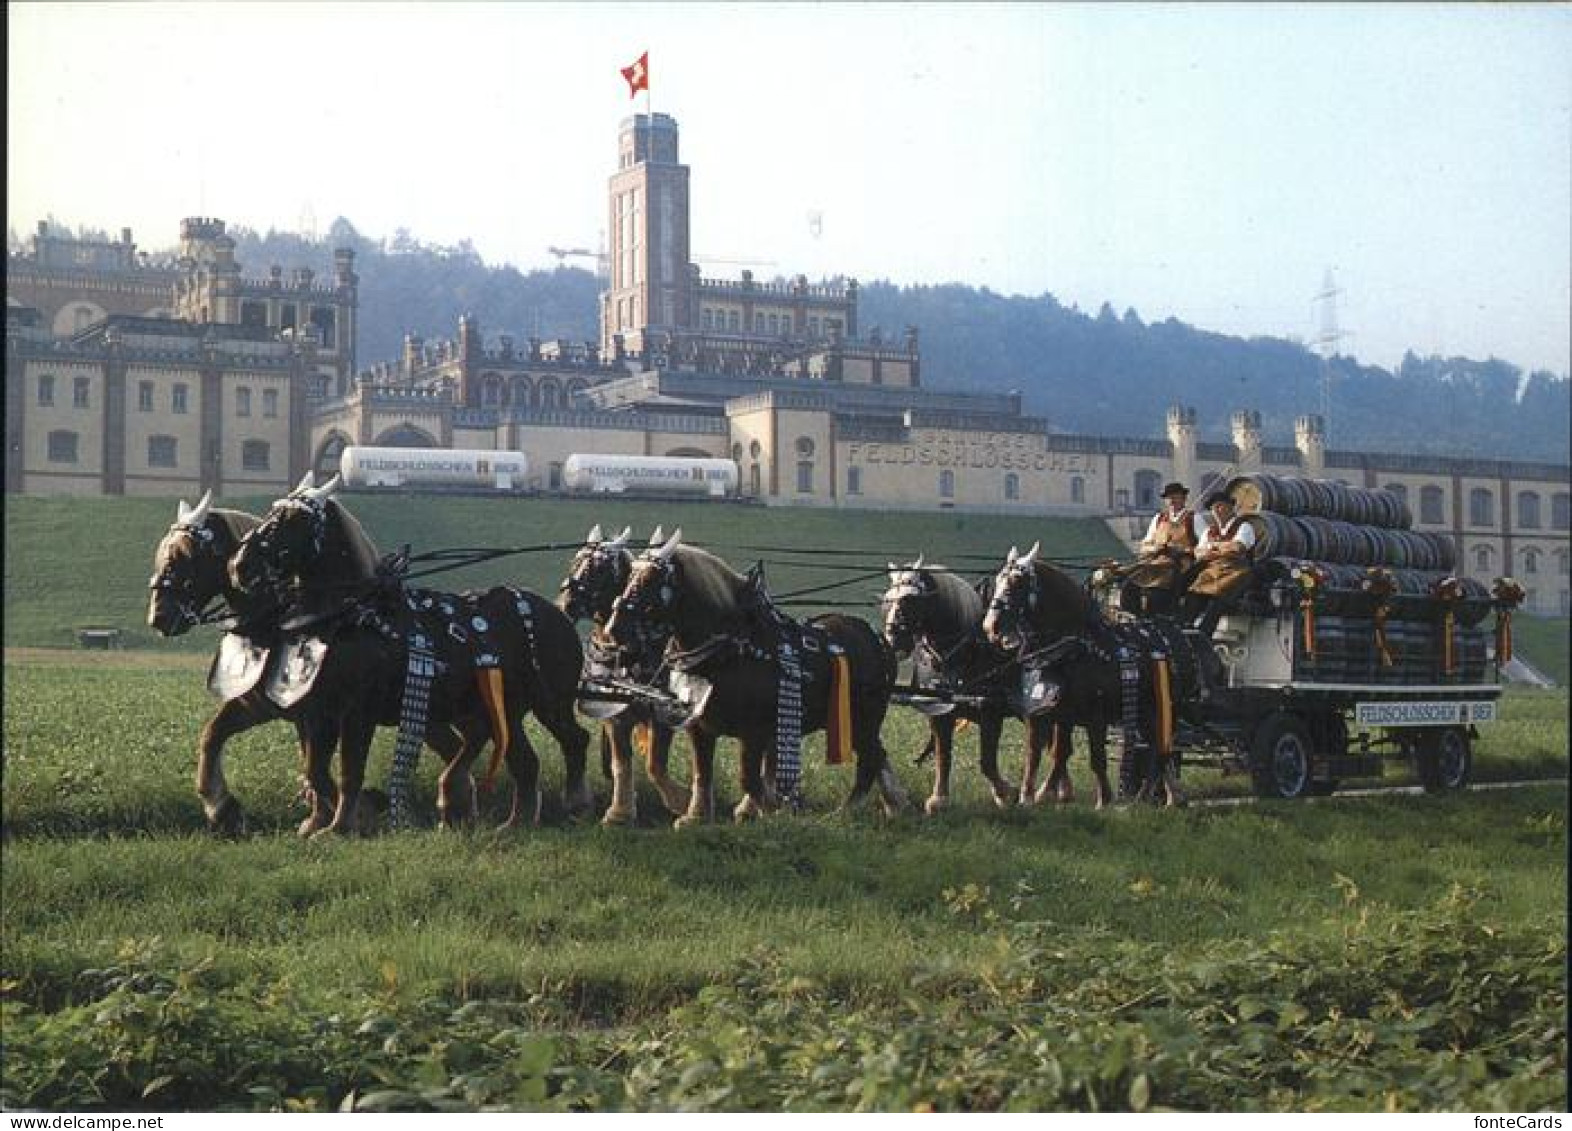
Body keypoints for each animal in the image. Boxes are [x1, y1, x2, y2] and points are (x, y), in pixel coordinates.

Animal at [232, 471, 594, 836]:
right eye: (272, 510)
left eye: (295, 519)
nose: (240, 565)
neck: (354, 617)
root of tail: (559, 614)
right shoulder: (323, 712)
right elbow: (315, 771)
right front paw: (325, 822)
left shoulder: (359, 712)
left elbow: (350, 772)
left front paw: (340, 827)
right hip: (505, 708)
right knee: (521, 760)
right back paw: (513, 821)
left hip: (549, 703)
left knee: (574, 740)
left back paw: (574, 801)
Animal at [562, 522, 691, 824]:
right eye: (575, 561)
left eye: (598, 569)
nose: (564, 603)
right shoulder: (615, 715)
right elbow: (621, 762)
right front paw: (619, 811)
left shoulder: (660, 714)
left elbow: (655, 764)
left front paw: (681, 801)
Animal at [597, 525, 905, 824]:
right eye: (629, 575)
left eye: (652, 579)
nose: (614, 630)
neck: (729, 650)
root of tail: (878, 639)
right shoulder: (699, 725)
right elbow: (702, 772)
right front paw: (695, 815)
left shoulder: (754, 731)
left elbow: (748, 778)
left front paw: (771, 811)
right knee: (878, 755)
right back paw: (893, 805)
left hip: (862, 720)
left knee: (869, 761)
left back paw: (847, 811)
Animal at [880, 559, 1050, 811]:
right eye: (888, 599)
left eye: (910, 599)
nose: (892, 639)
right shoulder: (939, 713)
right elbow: (943, 755)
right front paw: (939, 799)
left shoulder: (990, 714)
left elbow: (987, 762)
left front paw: (1005, 793)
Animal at [974, 544, 1182, 811]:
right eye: (999, 580)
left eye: (1017, 582)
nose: (991, 628)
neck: (1075, 649)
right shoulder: (1046, 713)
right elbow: (1041, 754)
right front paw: (1028, 798)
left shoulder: (1095, 714)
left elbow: (1096, 758)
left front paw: (1103, 800)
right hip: (1145, 710)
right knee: (1157, 746)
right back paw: (1160, 795)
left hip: (1158, 708)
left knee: (1160, 746)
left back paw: (1155, 795)